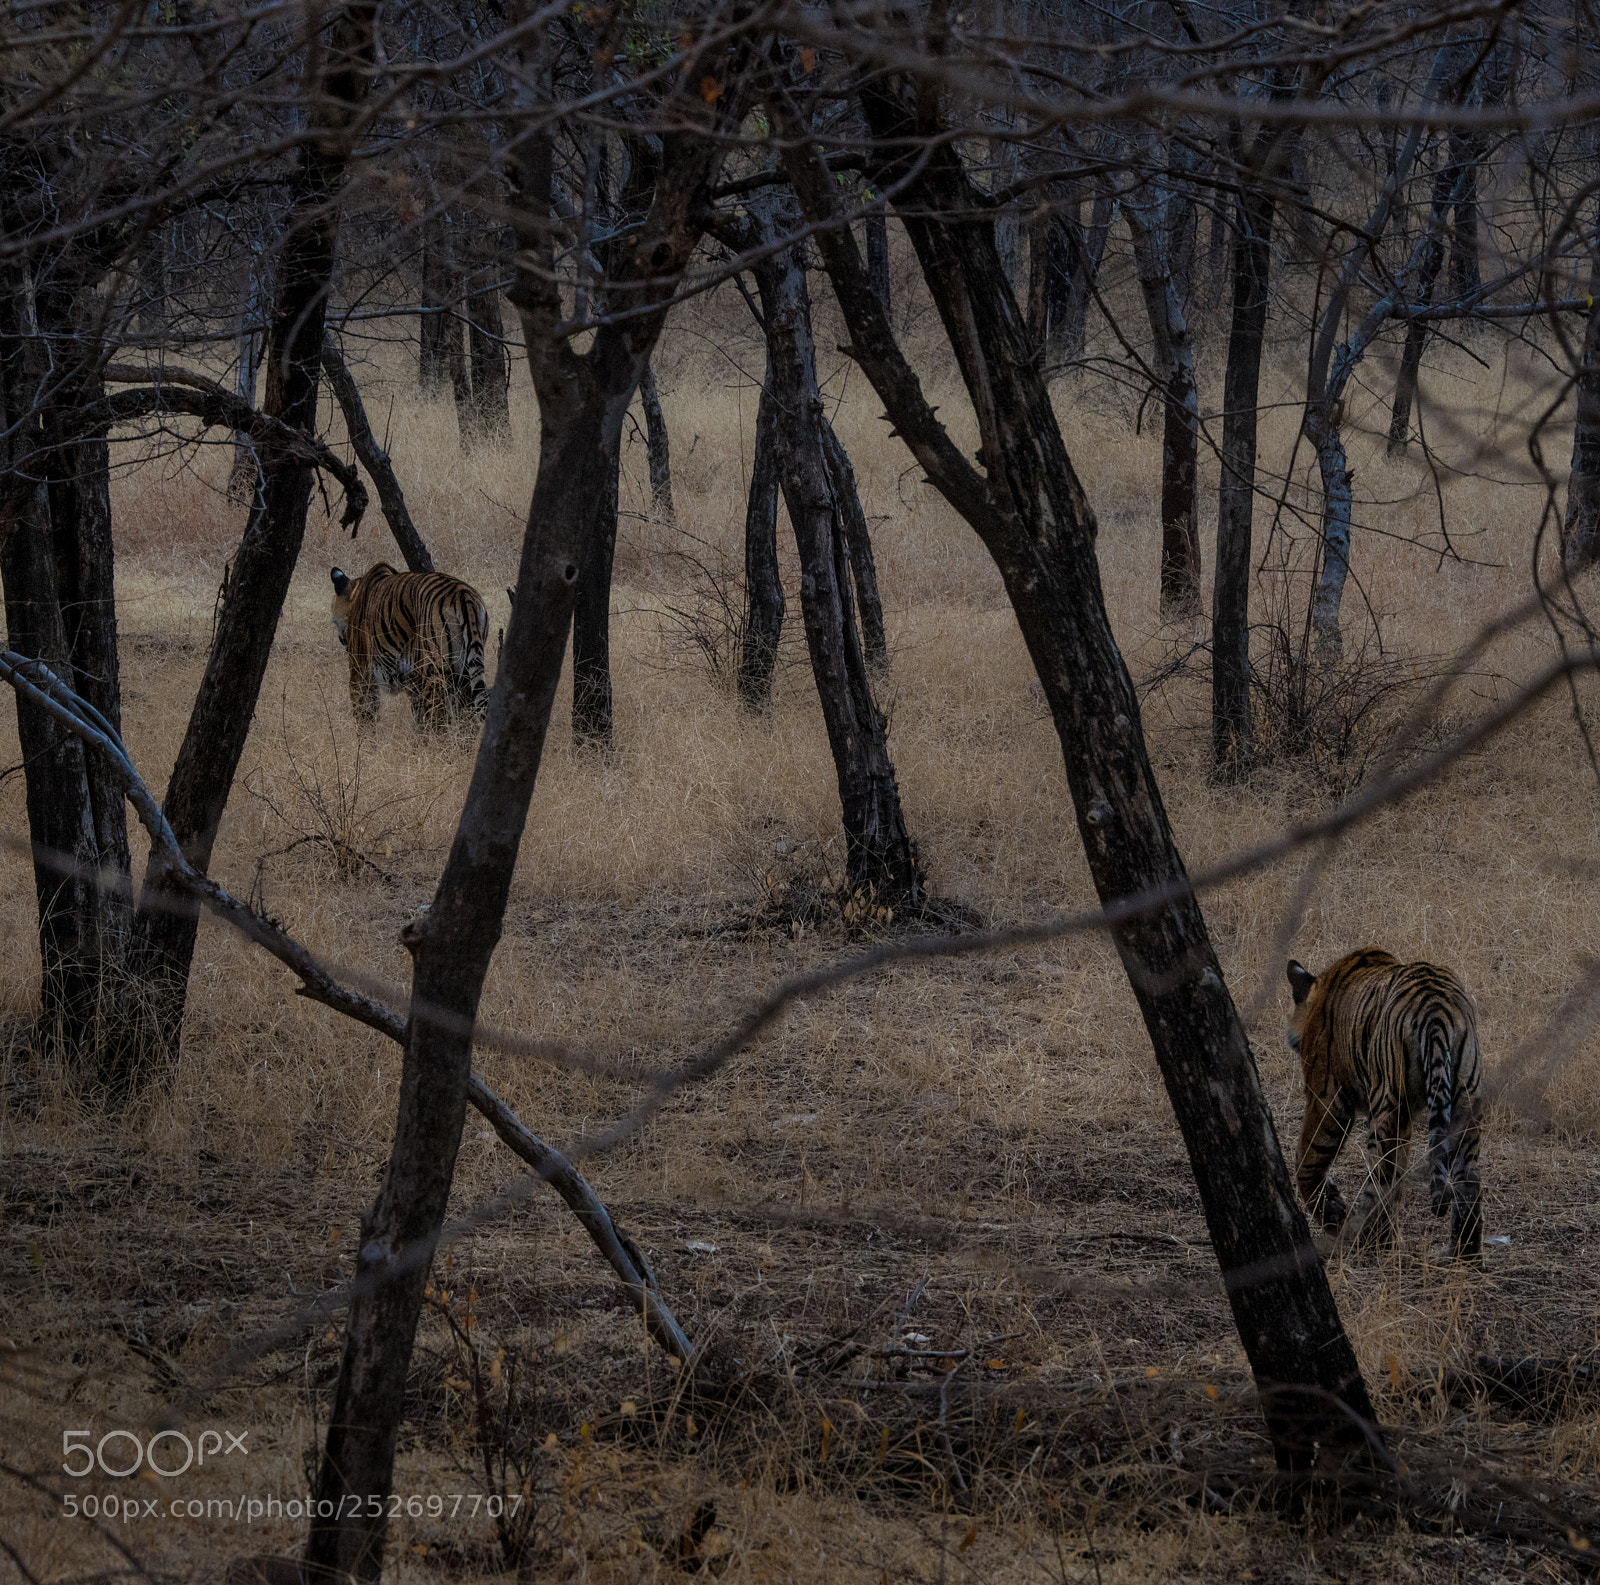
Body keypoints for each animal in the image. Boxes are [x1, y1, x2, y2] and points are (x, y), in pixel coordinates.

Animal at [329, 563, 489, 729]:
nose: (342, 640)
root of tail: (463, 593)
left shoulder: (361, 674)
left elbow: (365, 719)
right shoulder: (413, 684)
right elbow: (419, 721)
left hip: (434, 676)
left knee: (440, 723)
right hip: (465, 678)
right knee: (468, 724)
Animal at [1286, 948, 1482, 1262]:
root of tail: (1436, 1010)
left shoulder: (1327, 1098)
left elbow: (1307, 1159)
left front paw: (1332, 1213)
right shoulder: (1406, 1118)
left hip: (1386, 1102)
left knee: (1381, 1177)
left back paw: (1361, 1236)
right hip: (1465, 1100)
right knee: (1468, 1178)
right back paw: (1464, 1256)